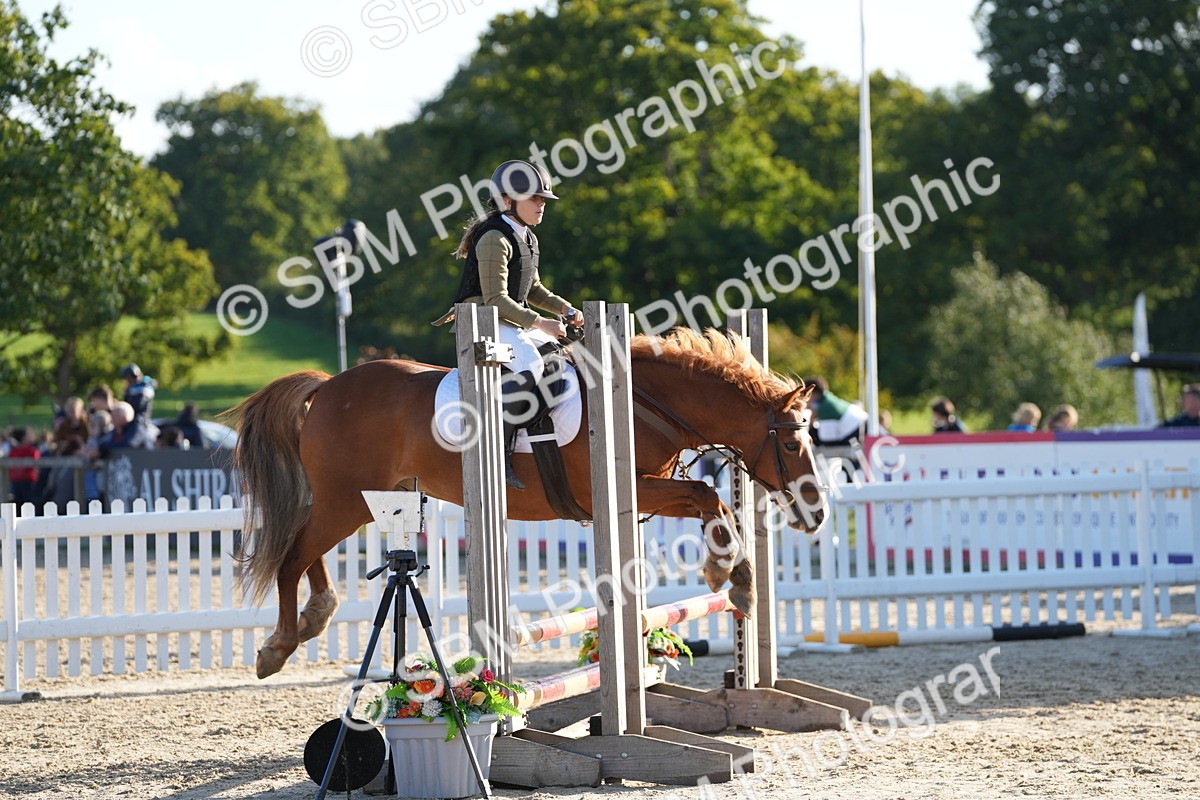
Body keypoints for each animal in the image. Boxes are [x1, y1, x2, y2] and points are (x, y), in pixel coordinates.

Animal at [231, 327, 827, 679]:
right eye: (791, 444)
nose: (815, 512)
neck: (645, 401)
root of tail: (330, 385)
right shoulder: (622, 488)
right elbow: (708, 495)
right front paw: (731, 576)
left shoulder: (646, 490)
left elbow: (710, 502)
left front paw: (736, 576)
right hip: (344, 500)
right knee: (292, 555)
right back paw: (280, 644)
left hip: (362, 500)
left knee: (306, 553)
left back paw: (316, 614)